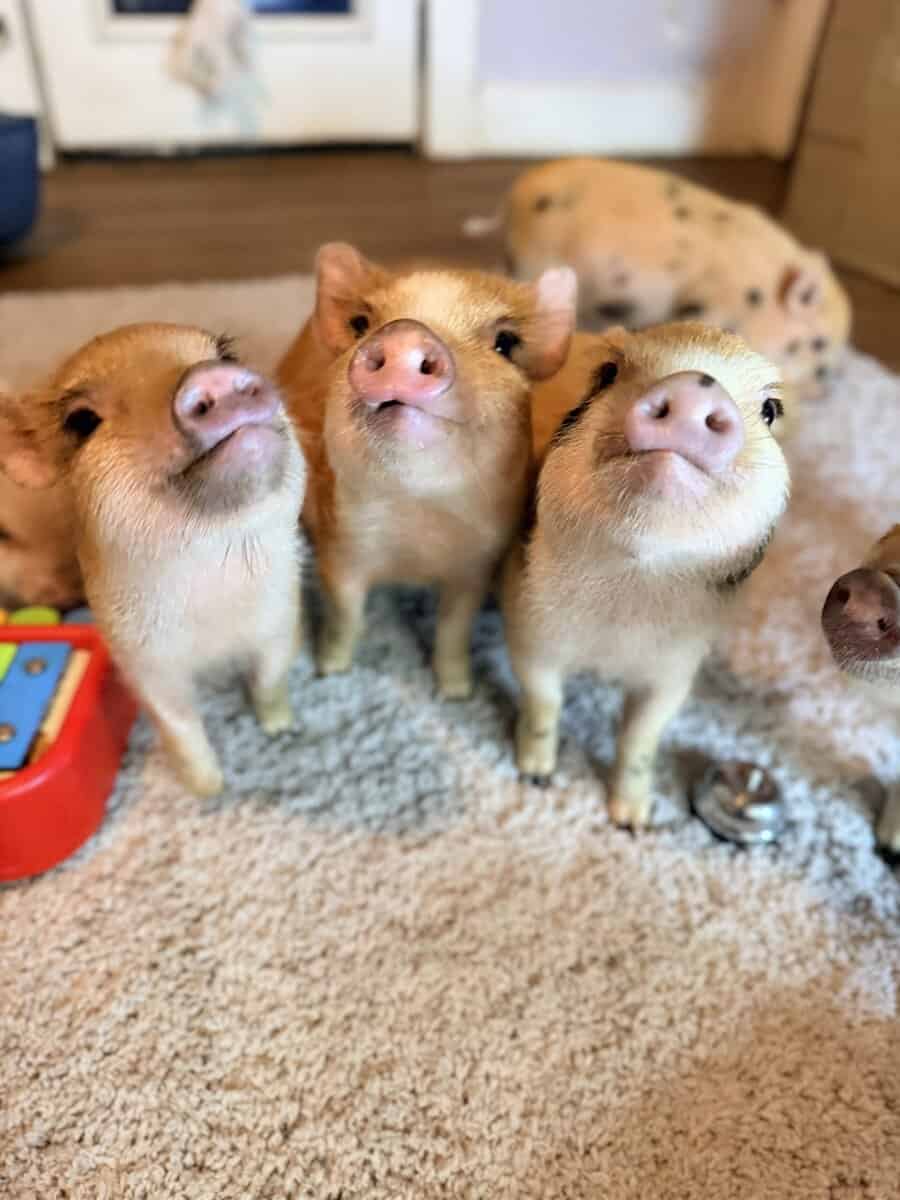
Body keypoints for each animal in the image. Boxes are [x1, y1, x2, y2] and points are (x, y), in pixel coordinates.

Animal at [0, 323, 306, 796]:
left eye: (227, 355)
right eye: (81, 421)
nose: (212, 375)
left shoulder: (282, 614)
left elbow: (271, 679)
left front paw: (282, 731)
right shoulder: (139, 657)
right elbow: (178, 726)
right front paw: (210, 791)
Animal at [278, 243, 576, 698]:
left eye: (506, 343)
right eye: (361, 324)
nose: (405, 334)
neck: (417, 524)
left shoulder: (476, 564)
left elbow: (454, 628)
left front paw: (456, 692)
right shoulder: (341, 547)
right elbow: (346, 616)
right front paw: (330, 671)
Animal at [503, 322, 790, 829]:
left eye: (770, 410)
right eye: (607, 374)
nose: (697, 384)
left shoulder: (677, 666)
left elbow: (642, 736)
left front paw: (633, 823)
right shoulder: (527, 620)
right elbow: (543, 701)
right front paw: (536, 777)